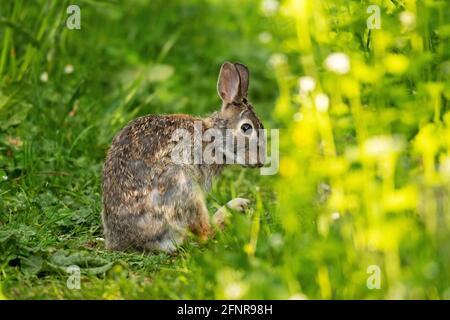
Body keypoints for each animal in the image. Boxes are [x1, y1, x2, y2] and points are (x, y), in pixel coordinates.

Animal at [100, 62, 266, 252]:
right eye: (246, 128)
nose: (260, 162)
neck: (214, 136)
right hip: (183, 185)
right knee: (204, 234)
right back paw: (235, 207)